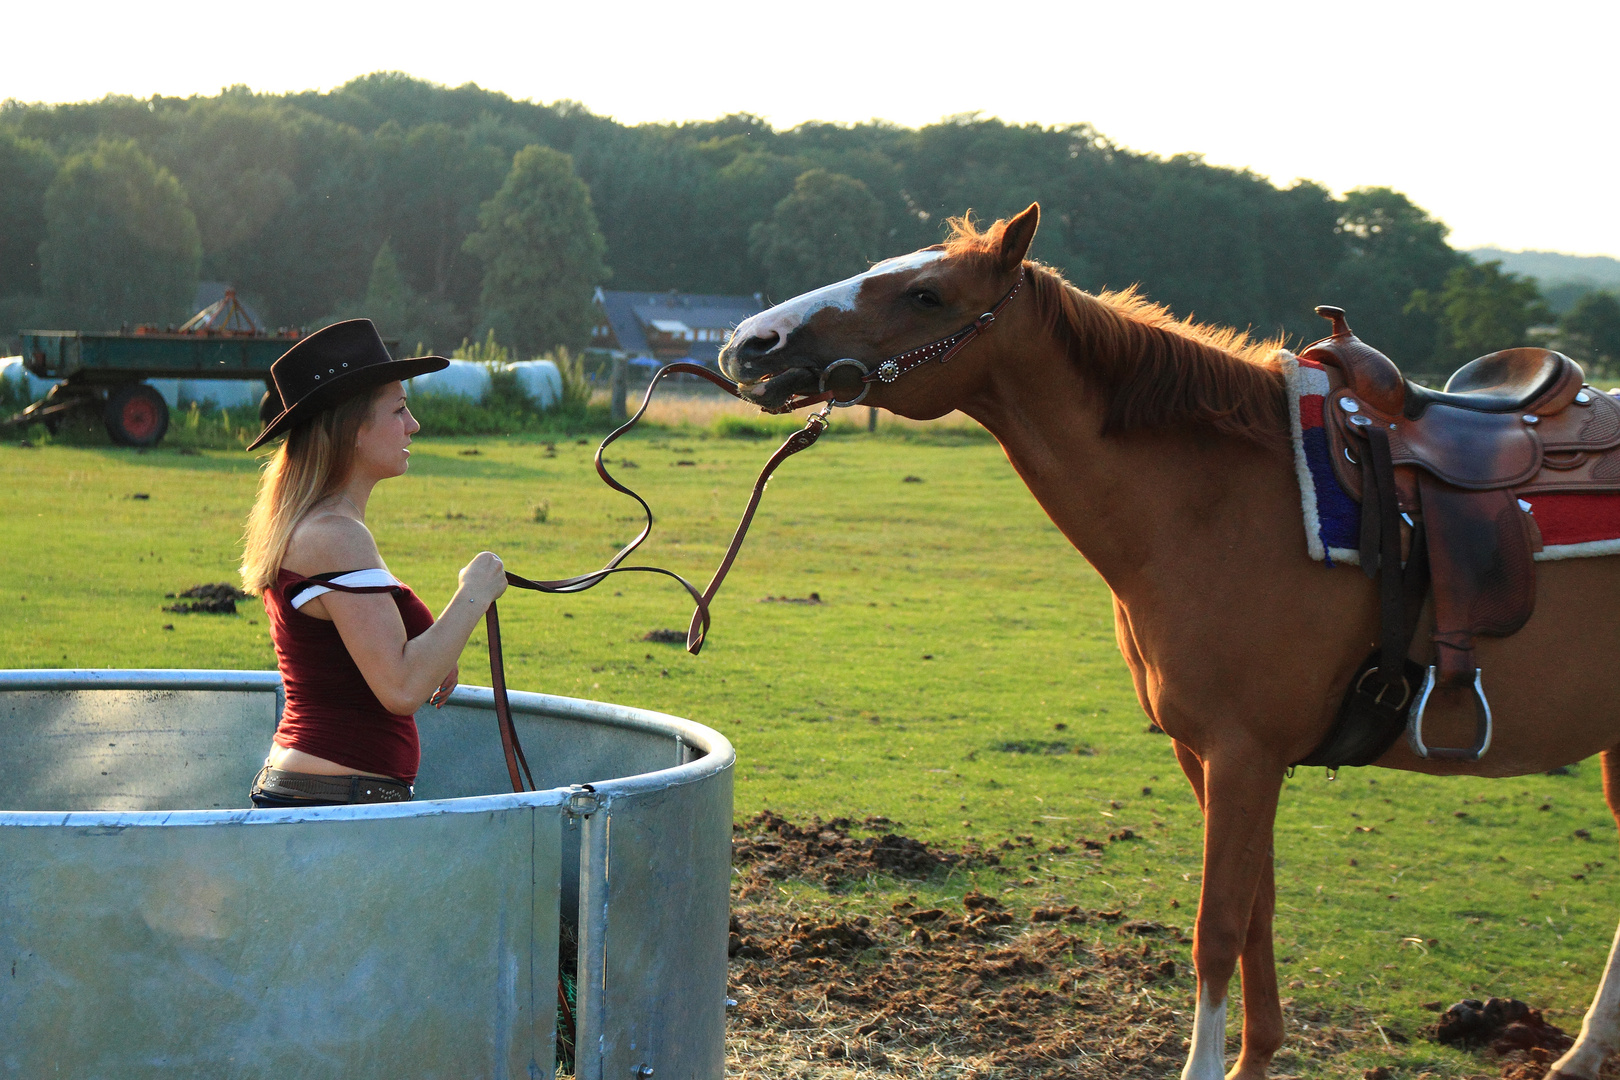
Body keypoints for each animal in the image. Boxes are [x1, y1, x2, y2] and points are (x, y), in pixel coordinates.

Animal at [719, 202, 1620, 1080]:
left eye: (925, 296)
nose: (750, 343)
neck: (1225, 503)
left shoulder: (1245, 752)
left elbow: (1216, 930)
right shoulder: (1209, 753)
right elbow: (1256, 913)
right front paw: (1256, 1058)